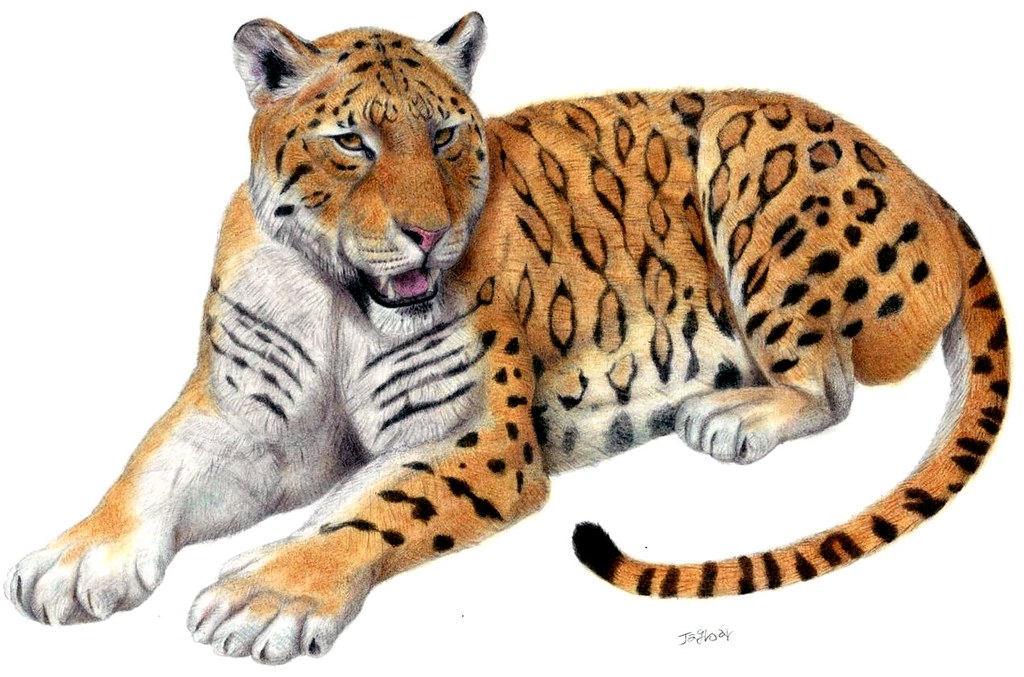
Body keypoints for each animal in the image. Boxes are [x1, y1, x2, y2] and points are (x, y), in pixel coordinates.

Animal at [5, 12, 1008, 664]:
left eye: (448, 132)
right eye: (352, 142)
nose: (427, 233)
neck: (338, 302)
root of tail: (918, 177)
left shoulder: (479, 437)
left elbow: (378, 503)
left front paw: (266, 589)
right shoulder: (246, 414)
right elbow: (156, 463)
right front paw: (78, 558)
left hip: (747, 149)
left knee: (827, 384)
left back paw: (731, 413)